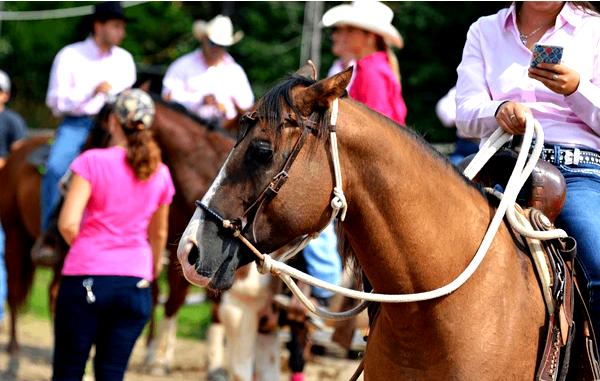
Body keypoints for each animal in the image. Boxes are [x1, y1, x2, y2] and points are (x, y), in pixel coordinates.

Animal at [0, 97, 234, 354]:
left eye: (96, 128)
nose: (66, 181)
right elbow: (169, 298)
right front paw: (157, 354)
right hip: (14, 235)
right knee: (15, 290)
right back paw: (14, 349)